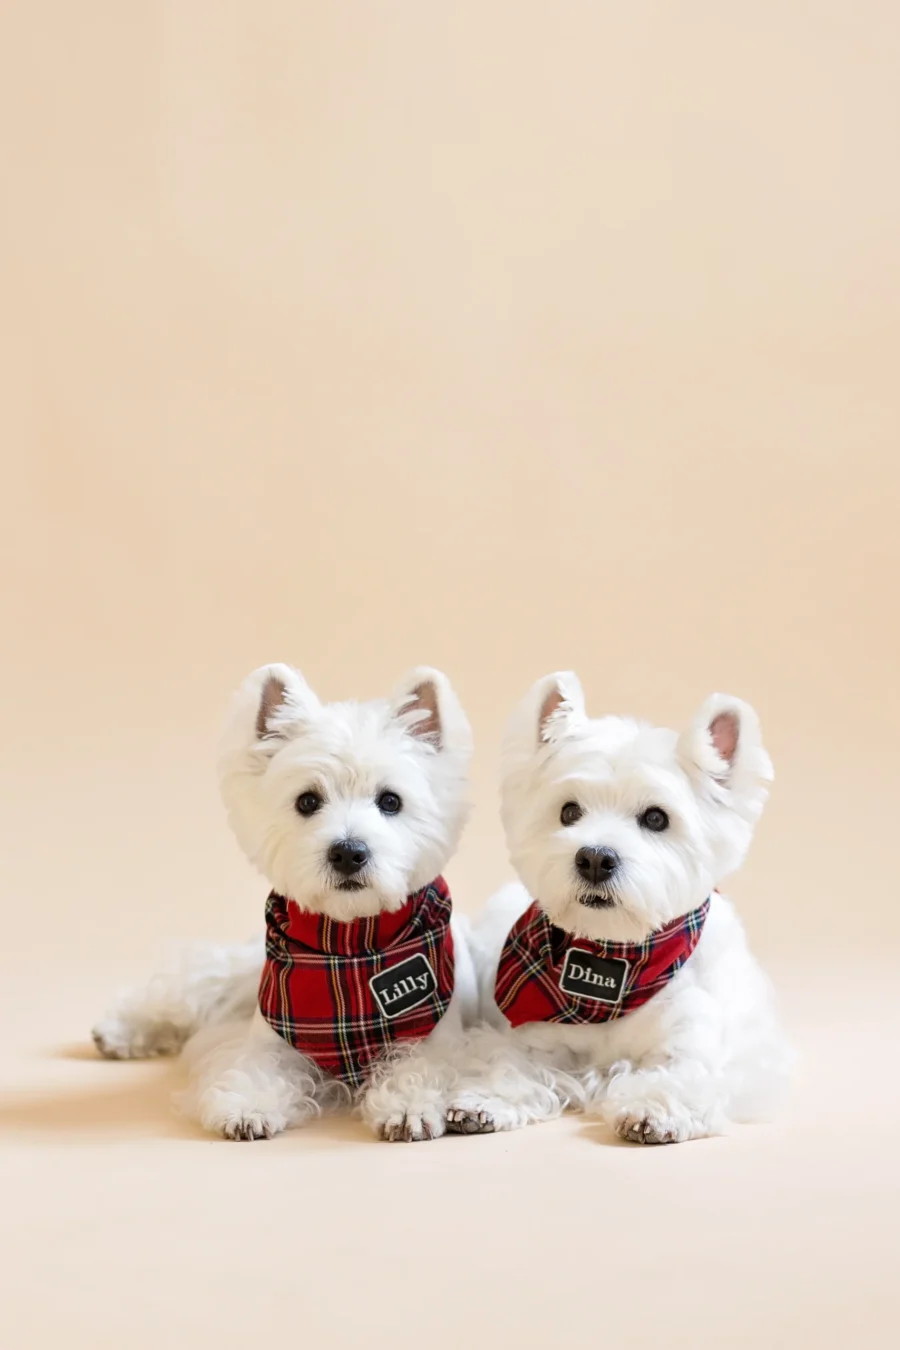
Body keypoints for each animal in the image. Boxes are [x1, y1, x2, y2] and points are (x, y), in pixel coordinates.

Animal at [93, 661, 477, 1139]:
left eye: (391, 801)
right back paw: (118, 1031)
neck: (350, 950)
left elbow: (421, 1067)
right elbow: (256, 1068)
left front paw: (409, 1108)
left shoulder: (434, 1033)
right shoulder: (269, 1034)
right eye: (307, 801)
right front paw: (248, 1108)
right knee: (192, 991)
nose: (348, 852)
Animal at [447, 672, 793, 1139]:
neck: (614, 962)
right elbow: (509, 1064)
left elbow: (681, 1076)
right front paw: (483, 1100)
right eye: (569, 811)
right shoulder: (530, 1037)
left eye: (656, 818)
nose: (595, 858)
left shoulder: (695, 1046)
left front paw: (653, 1109)